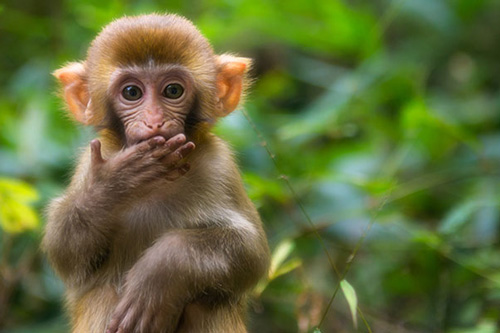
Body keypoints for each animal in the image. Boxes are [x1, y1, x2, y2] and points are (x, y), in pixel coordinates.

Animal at [43, 13, 270, 332]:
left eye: (173, 91)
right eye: (132, 93)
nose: (154, 121)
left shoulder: (220, 166)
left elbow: (251, 252)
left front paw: (160, 273)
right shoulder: (89, 164)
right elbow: (65, 251)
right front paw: (116, 182)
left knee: (208, 304)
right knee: (103, 292)